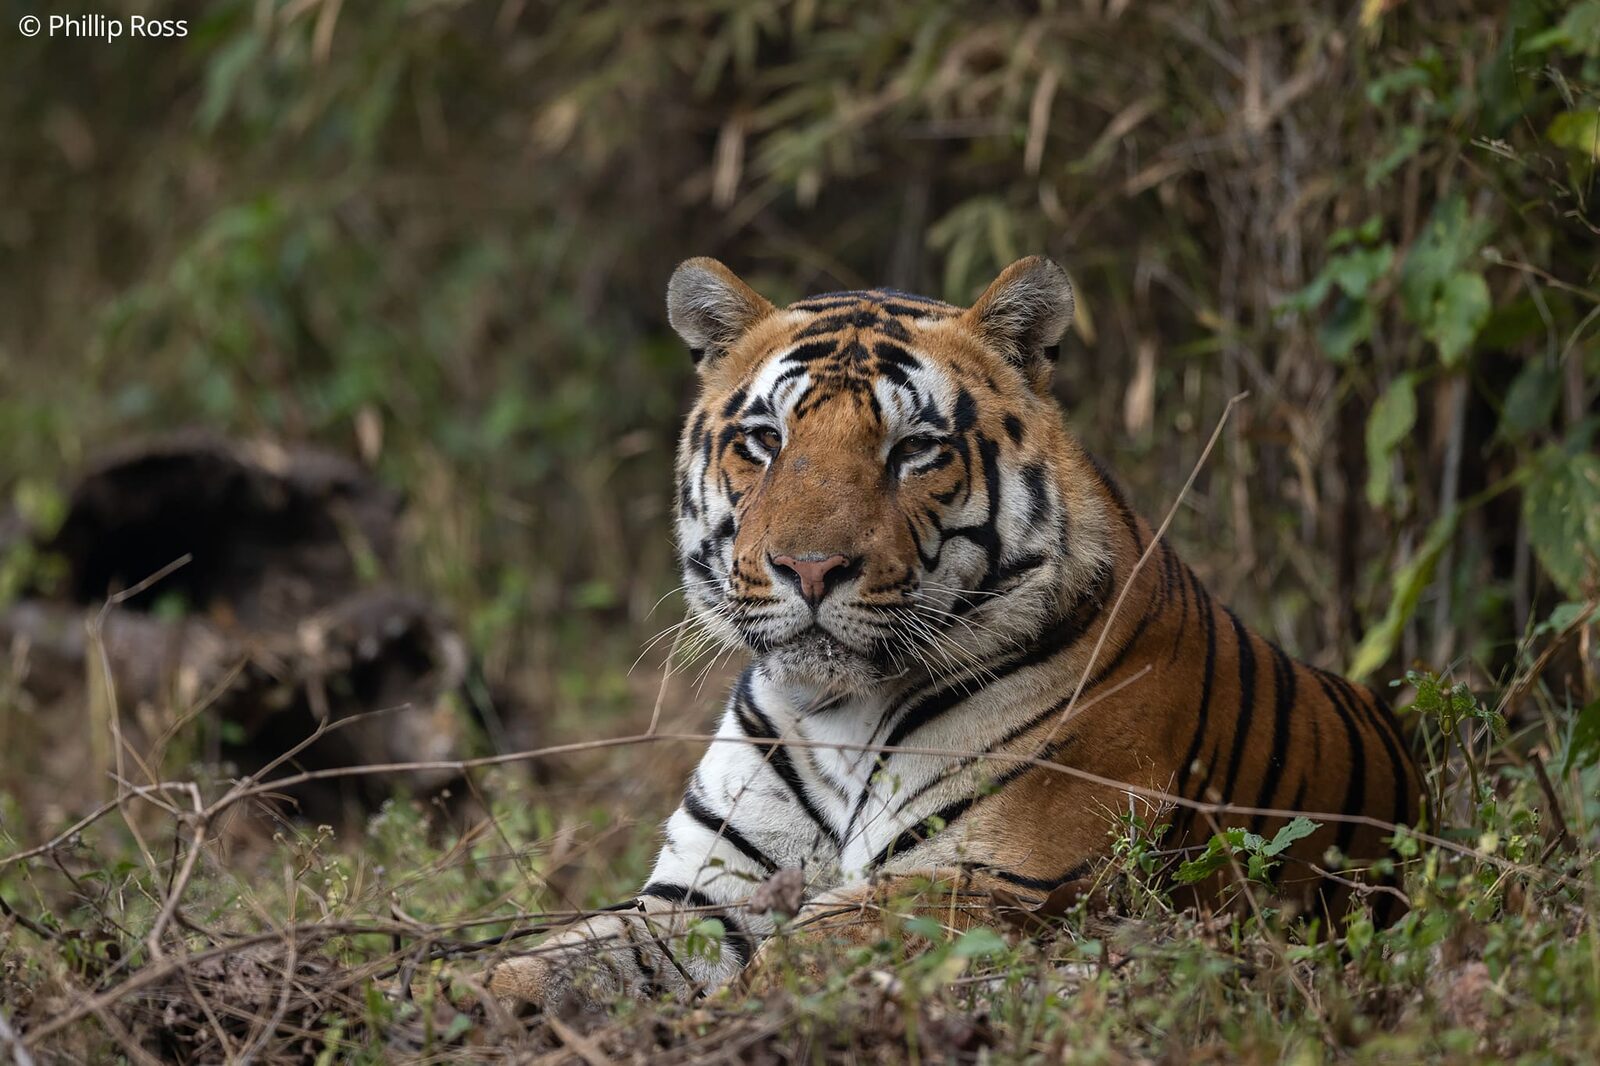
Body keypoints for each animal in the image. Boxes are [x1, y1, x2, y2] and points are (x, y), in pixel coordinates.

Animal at [486, 256, 1423, 1014]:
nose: (810, 568)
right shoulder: (706, 890)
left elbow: (792, 965)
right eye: (764, 439)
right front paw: (470, 998)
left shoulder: (981, 882)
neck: (836, 710)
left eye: (914, 449)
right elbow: (566, 955)